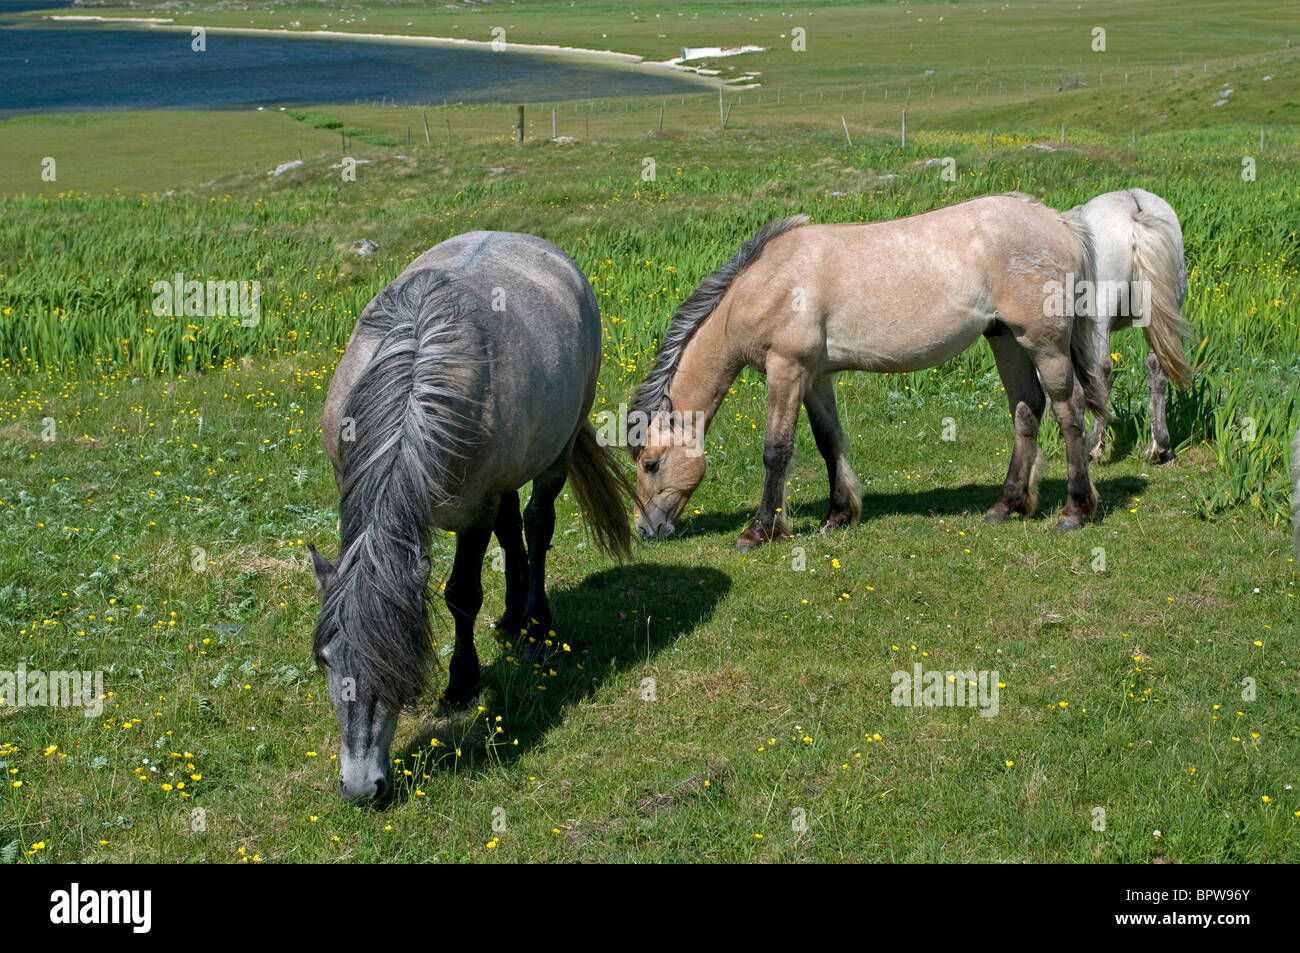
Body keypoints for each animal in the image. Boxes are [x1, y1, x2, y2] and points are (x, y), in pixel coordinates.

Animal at [310, 231, 631, 804]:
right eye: (326, 660)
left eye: (397, 667)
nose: (360, 787)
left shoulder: (475, 511)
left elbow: (461, 594)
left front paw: (460, 685)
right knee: (513, 529)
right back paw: (510, 616)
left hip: (557, 453)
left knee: (536, 525)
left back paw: (535, 626)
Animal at [629, 192, 1132, 550]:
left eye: (651, 463)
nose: (646, 530)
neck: (766, 283)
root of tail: (1062, 224)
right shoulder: (815, 376)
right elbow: (828, 440)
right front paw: (838, 514)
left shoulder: (786, 369)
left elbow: (777, 450)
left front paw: (759, 531)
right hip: (1005, 338)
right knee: (1027, 409)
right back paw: (1005, 506)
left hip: (1044, 344)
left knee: (1069, 411)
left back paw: (1074, 511)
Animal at [1065, 188, 1193, 465]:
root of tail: (1134, 207)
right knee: (1158, 368)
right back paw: (1160, 448)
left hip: (1100, 314)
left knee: (1103, 370)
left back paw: (1093, 447)